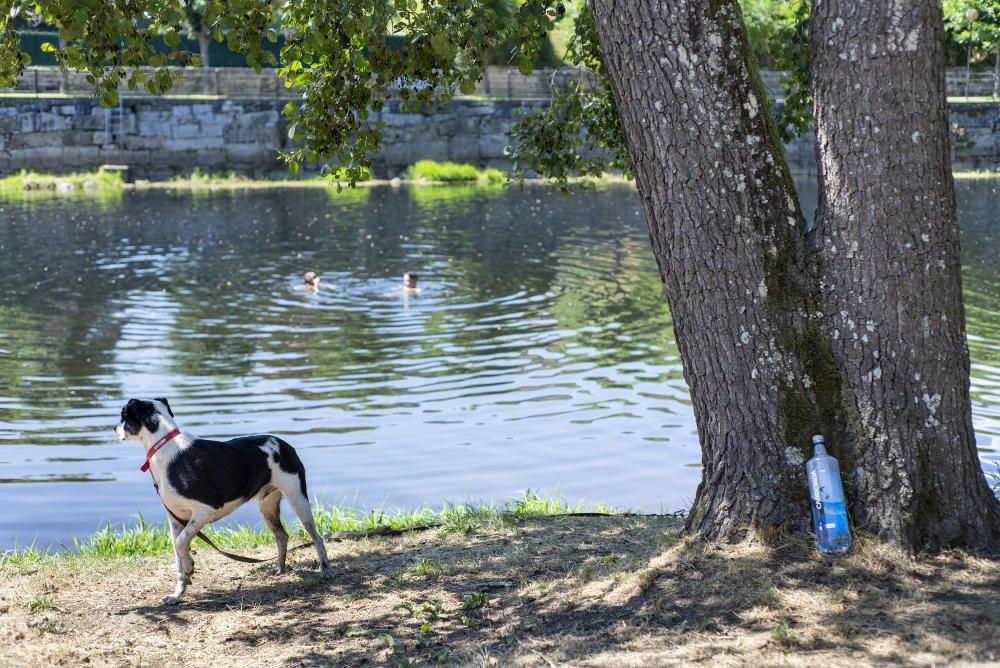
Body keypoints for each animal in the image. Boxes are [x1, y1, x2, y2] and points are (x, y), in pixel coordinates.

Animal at [113, 396, 332, 604]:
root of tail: (285, 445)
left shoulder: (204, 510)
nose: (114, 428)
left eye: (123, 416)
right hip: (267, 506)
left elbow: (182, 543)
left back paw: (325, 571)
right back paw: (279, 569)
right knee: (282, 536)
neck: (164, 448)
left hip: (297, 499)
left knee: (317, 537)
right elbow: (178, 556)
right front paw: (177, 594)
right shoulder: (175, 520)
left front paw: (190, 566)